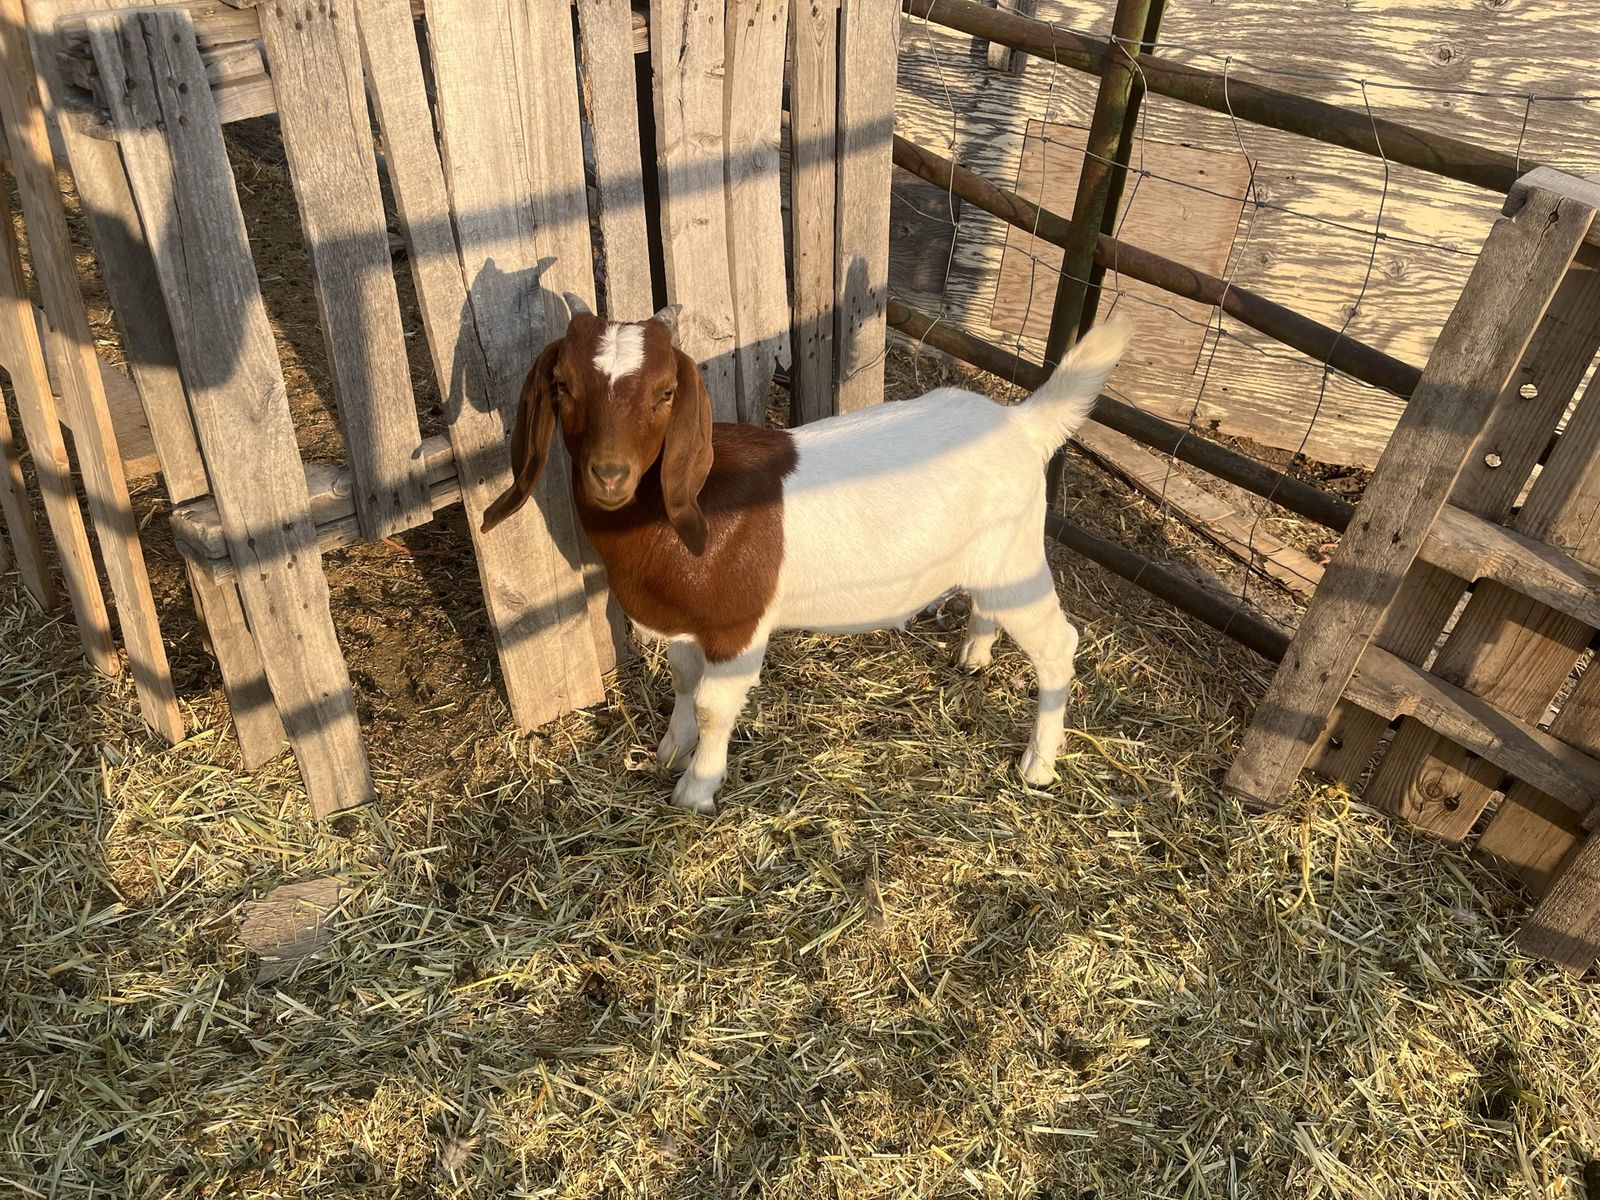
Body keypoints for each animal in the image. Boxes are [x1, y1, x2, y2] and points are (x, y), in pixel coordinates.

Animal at [482, 297, 1133, 813]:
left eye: (666, 392)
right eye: (562, 386)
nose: (610, 475)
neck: (689, 504)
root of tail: (1023, 423)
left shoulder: (737, 625)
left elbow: (715, 704)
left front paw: (696, 788)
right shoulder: (687, 623)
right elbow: (685, 680)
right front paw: (670, 748)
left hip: (1017, 558)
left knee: (1058, 644)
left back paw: (1039, 763)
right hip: (992, 562)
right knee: (991, 607)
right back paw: (974, 655)